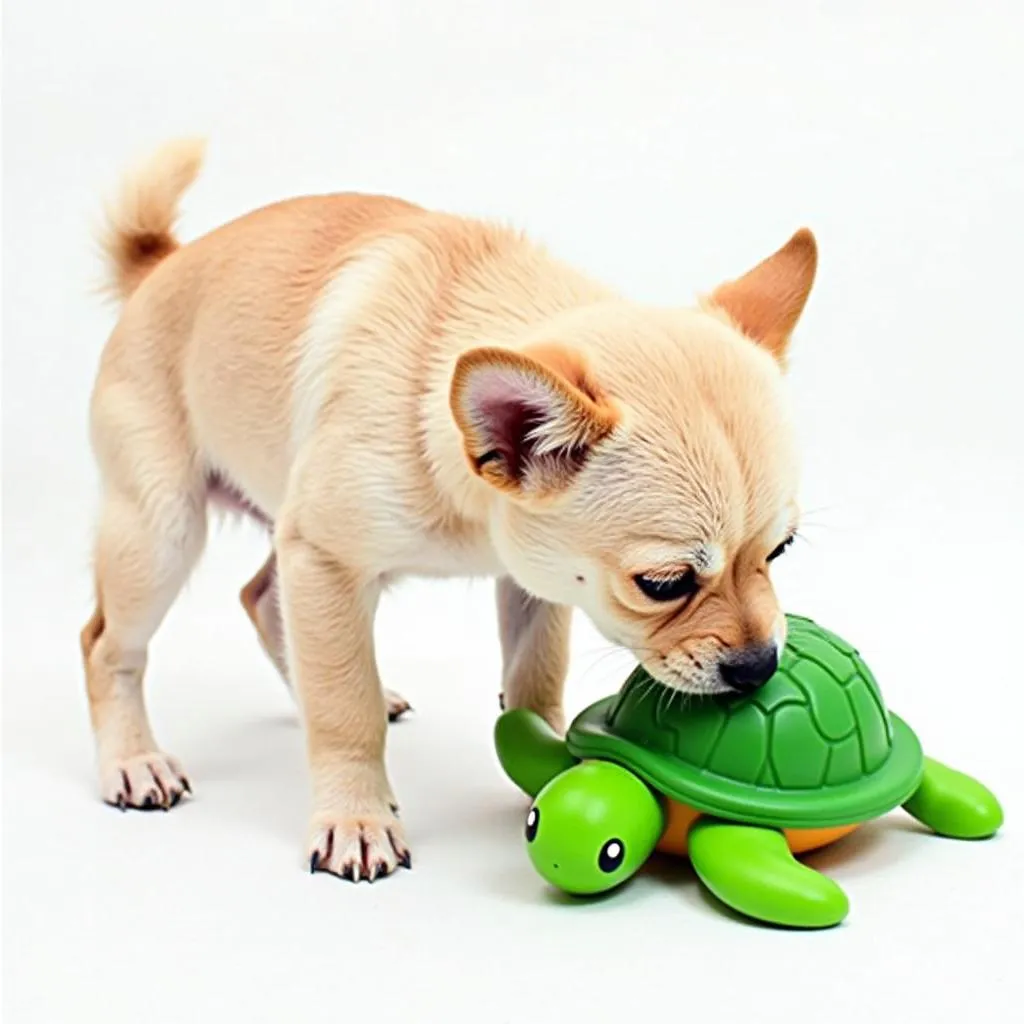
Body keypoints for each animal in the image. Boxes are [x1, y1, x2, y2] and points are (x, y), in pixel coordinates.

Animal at [79, 140, 815, 884]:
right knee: (109, 643)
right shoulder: (326, 558)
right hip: (161, 531)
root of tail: (161, 264)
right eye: (662, 585)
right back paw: (134, 760)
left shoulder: (532, 582)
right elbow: (343, 706)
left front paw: (547, 765)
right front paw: (355, 819)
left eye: (779, 552)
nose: (759, 667)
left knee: (263, 599)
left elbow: (532, 680)